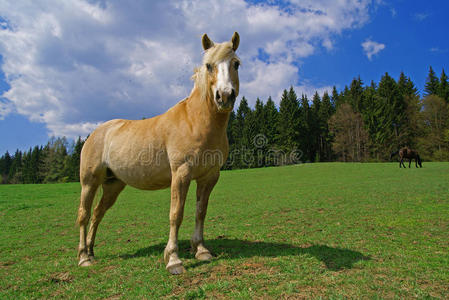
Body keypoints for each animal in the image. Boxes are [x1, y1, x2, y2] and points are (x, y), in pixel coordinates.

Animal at [76, 32, 242, 274]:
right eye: (209, 65)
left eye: (236, 64)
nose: (225, 96)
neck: (196, 121)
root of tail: (96, 133)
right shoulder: (181, 174)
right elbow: (176, 214)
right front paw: (173, 260)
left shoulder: (209, 177)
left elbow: (200, 211)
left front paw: (201, 250)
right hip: (89, 182)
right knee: (84, 215)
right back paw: (83, 258)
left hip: (113, 185)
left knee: (97, 214)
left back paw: (90, 251)